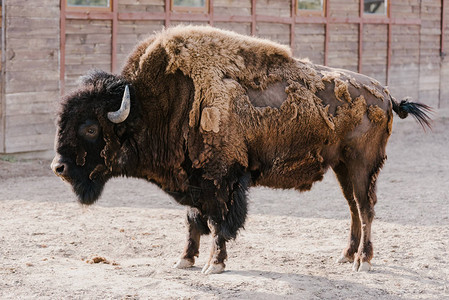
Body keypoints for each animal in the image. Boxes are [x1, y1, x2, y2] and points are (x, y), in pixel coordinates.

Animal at [50, 25, 428, 274]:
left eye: (90, 127)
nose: (59, 168)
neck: (154, 104)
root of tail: (385, 94)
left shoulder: (223, 179)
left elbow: (220, 222)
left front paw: (213, 265)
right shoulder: (194, 179)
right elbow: (193, 220)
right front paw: (184, 260)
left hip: (363, 166)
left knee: (366, 209)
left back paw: (362, 262)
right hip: (342, 168)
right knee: (353, 209)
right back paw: (346, 256)